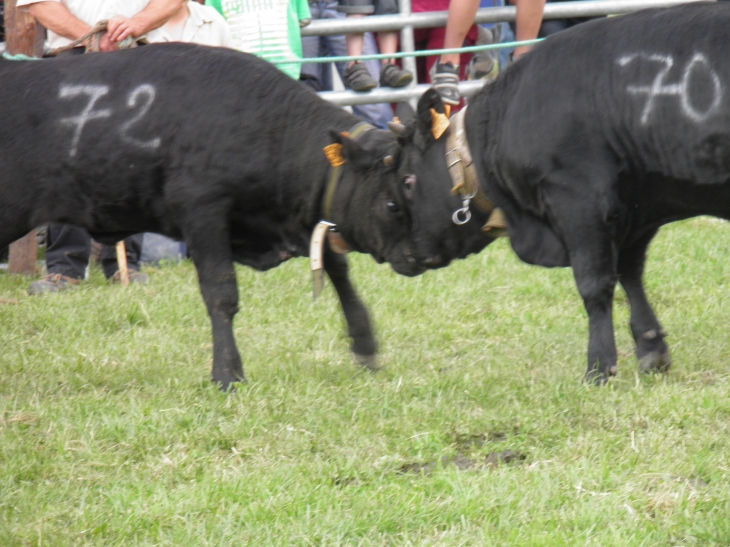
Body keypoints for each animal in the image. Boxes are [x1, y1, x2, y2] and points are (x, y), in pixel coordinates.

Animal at [0, 45, 420, 392]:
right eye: (392, 203)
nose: (421, 258)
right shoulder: (203, 212)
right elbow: (221, 293)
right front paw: (227, 374)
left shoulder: (305, 219)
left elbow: (337, 269)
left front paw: (365, 345)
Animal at [392, 2, 730, 384]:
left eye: (408, 181)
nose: (401, 256)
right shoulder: (634, 206)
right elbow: (630, 273)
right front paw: (651, 349)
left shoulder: (577, 199)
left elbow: (594, 283)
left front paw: (598, 367)